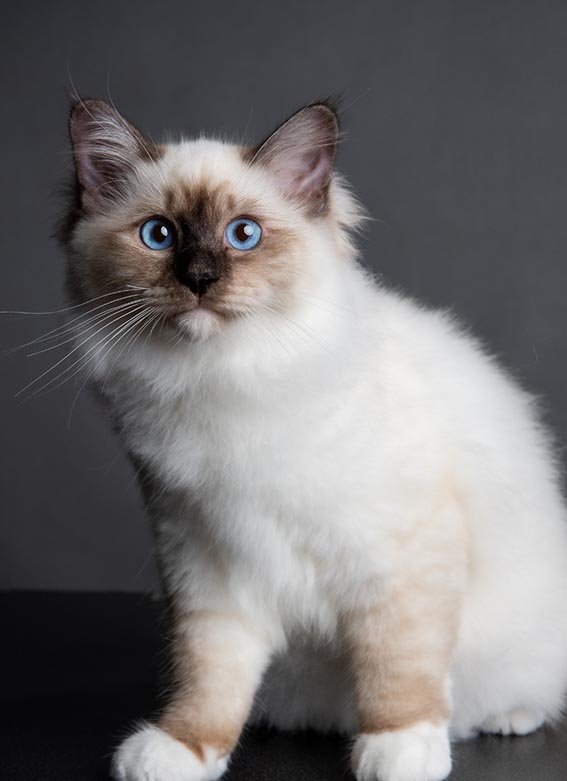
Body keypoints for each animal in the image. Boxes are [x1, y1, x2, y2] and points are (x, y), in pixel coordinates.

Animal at [58, 99, 567, 780]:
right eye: (158, 236)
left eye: (243, 234)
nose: (200, 278)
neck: (225, 381)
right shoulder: (206, 564)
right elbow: (207, 679)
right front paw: (182, 751)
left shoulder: (396, 561)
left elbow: (397, 666)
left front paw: (399, 749)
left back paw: (504, 719)